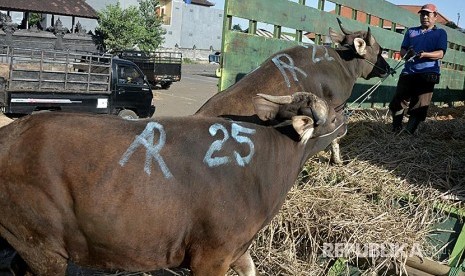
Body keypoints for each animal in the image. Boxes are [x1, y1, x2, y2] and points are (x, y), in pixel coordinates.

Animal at [194, 18, 390, 164]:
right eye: (380, 50)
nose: (388, 68)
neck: (343, 64)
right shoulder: (337, 106)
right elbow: (336, 135)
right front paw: (337, 160)